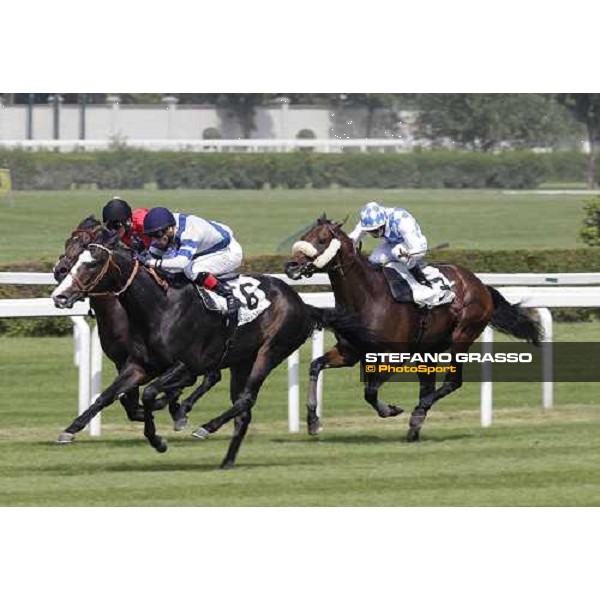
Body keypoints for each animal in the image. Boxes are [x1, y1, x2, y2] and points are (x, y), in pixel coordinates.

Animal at [52, 216, 221, 432]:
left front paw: (166, 407)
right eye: (68, 241)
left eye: (84, 243)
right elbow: (124, 397)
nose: (59, 271)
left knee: (211, 375)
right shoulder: (125, 361)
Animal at [284, 216, 540, 440]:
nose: (291, 266)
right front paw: (313, 421)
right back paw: (416, 426)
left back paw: (417, 414)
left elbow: (370, 391)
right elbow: (316, 366)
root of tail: (481, 285)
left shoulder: (395, 356)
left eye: (321, 240)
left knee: (451, 382)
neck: (367, 297)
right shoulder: (350, 351)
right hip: (427, 351)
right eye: (304, 236)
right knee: (428, 386)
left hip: (463, 335)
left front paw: (391, 410)